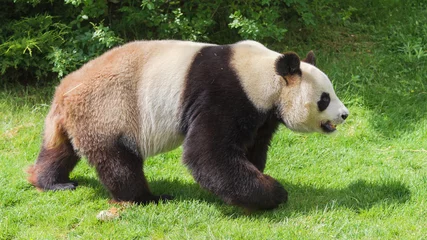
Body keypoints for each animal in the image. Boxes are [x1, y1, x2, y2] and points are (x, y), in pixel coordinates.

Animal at [26, 39, 350, 210]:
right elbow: (208, 154)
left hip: (80, 119)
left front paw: (256, 180)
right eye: (324, 99)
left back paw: (52, 182)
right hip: (108, 112)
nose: (344, 115)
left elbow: (251, 147)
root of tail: (63, 91)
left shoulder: (261, 112)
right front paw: (273, 193)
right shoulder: (224, 94)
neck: (265, 76)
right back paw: (147, 198)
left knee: (61, 150)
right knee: (118, 161)